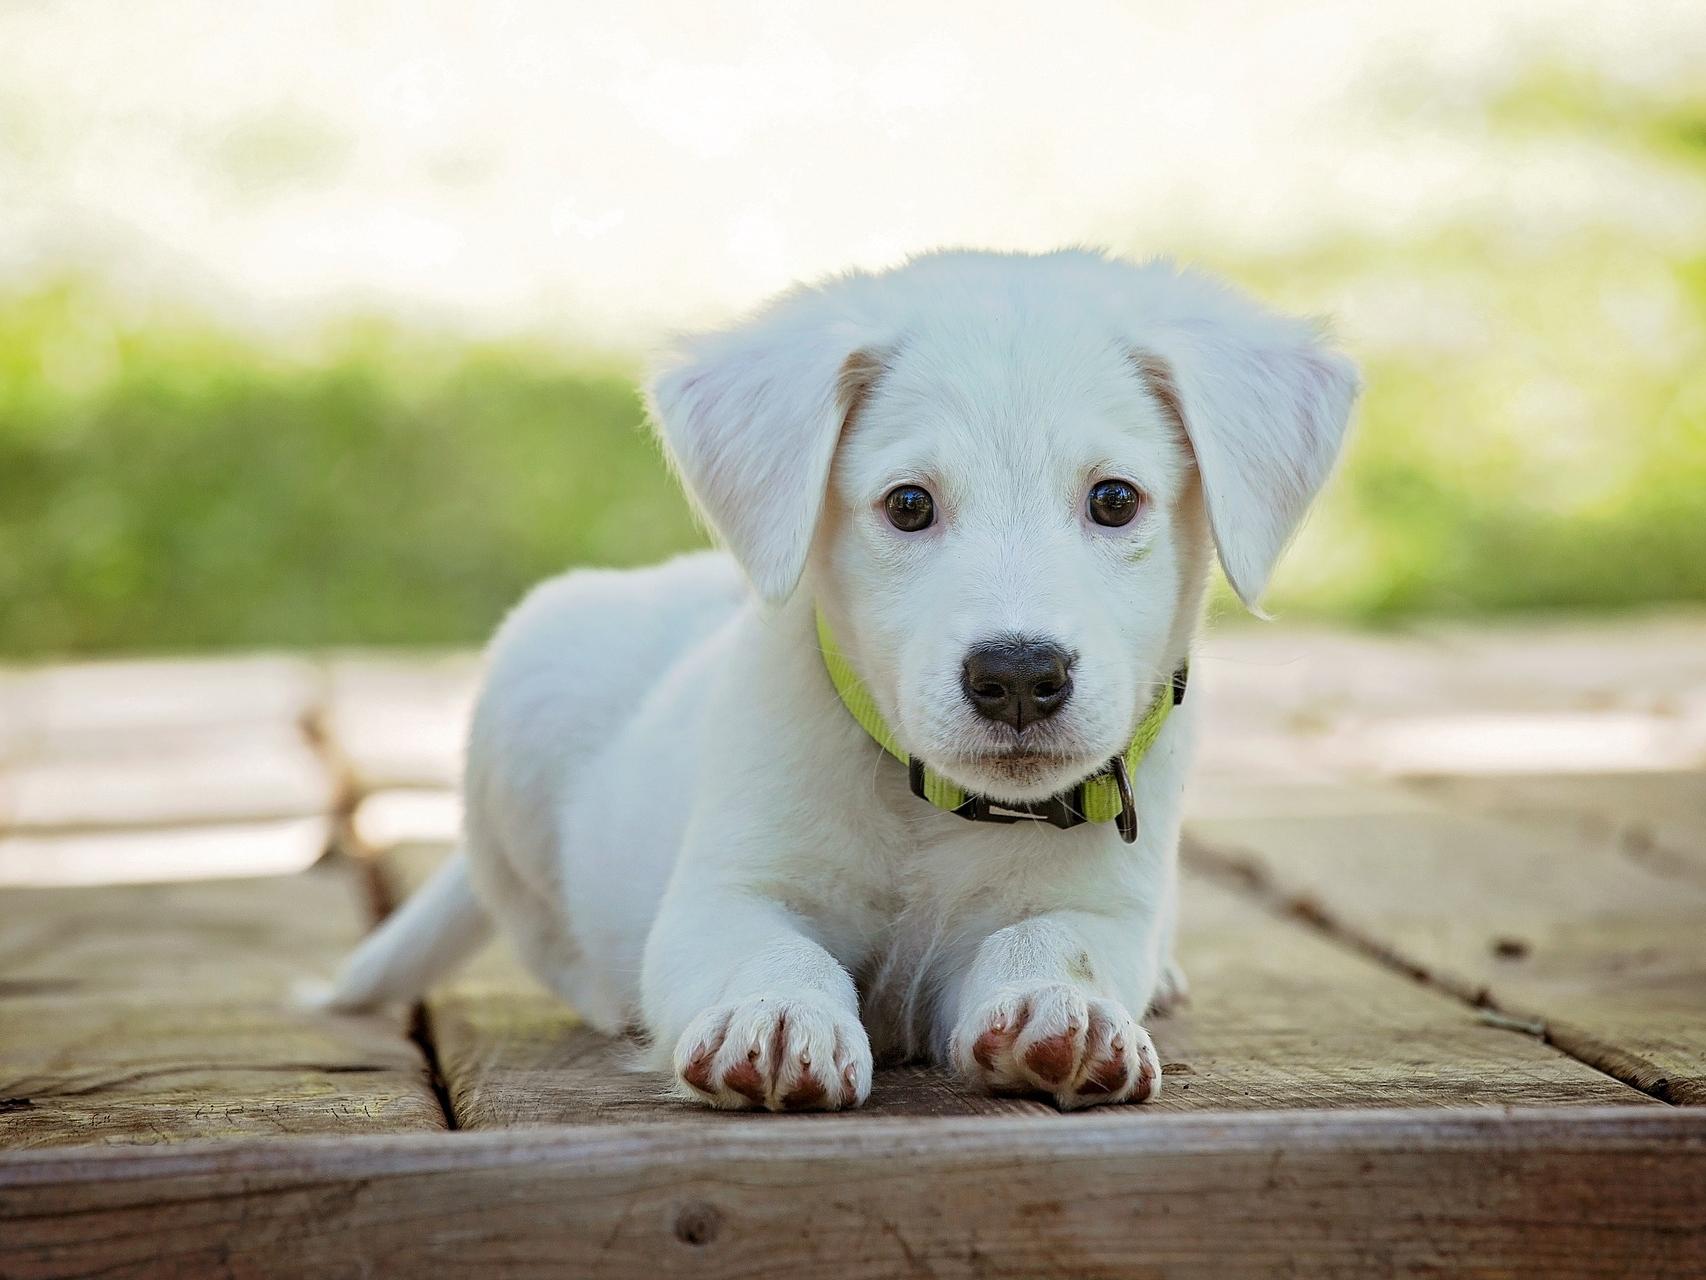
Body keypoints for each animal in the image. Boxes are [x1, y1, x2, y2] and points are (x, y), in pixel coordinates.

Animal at [325, 247, 1351, 1112]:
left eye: (1114, 499)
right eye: (908, 505)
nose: (1019, 676)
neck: (931, 808)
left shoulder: (1102, 906)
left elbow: (1053, 941)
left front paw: (1063, 1009)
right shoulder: (724, 894)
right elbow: (771, 950)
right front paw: (778, 1016)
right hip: (525, 697)